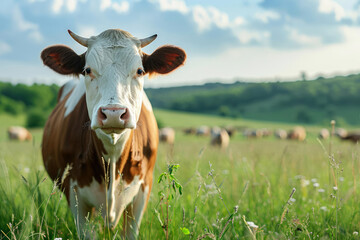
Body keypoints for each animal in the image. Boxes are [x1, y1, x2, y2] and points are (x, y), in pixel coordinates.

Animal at [40, 28, 186, 238]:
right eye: (87, 70)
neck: (113, 155)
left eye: (140, 71)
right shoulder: (75, 193)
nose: (113, 113)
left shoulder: (143, 189)